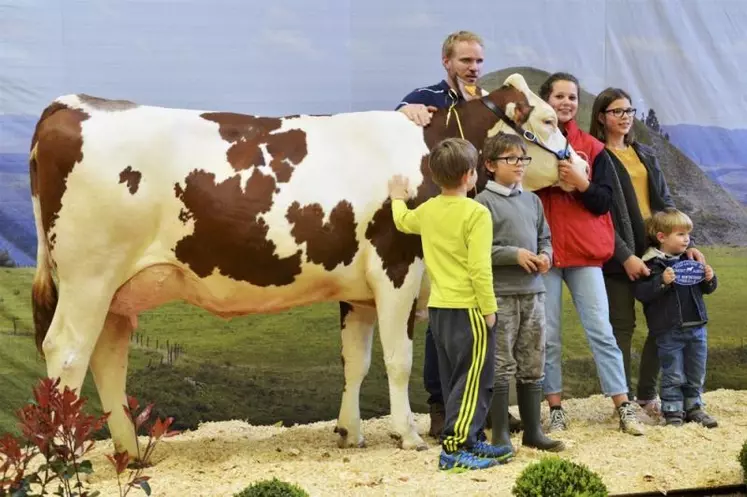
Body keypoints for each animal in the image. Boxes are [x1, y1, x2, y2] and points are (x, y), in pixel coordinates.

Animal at [29, 71, 588, 456]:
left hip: (117, 291)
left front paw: (349, 431)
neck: (430, 154)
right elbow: (399, 358)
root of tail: (68, 105)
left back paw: (127, 452)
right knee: (67, 353)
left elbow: (355, 359)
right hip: (88, 277)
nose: (581, 164)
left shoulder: (359, 290)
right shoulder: (398, 269)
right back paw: (66, 457)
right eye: (548, 119)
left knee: (107, 358)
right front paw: (407, 434)